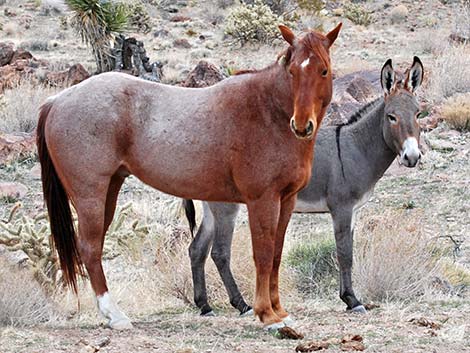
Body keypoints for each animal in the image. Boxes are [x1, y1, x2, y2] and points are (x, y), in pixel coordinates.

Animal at [35, 23, 340, 328]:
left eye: (323, 70)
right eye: (293, 71)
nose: (301, 125)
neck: (267, 111)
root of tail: (57, 100)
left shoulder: (285, 200)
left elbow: (276, 254)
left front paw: (280, 312)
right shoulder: (261, 201)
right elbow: (263, 255)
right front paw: (267, 315)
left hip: (110, 189)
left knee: (95, 246)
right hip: (90, 195)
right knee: (89, 248)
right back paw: (116, 316)